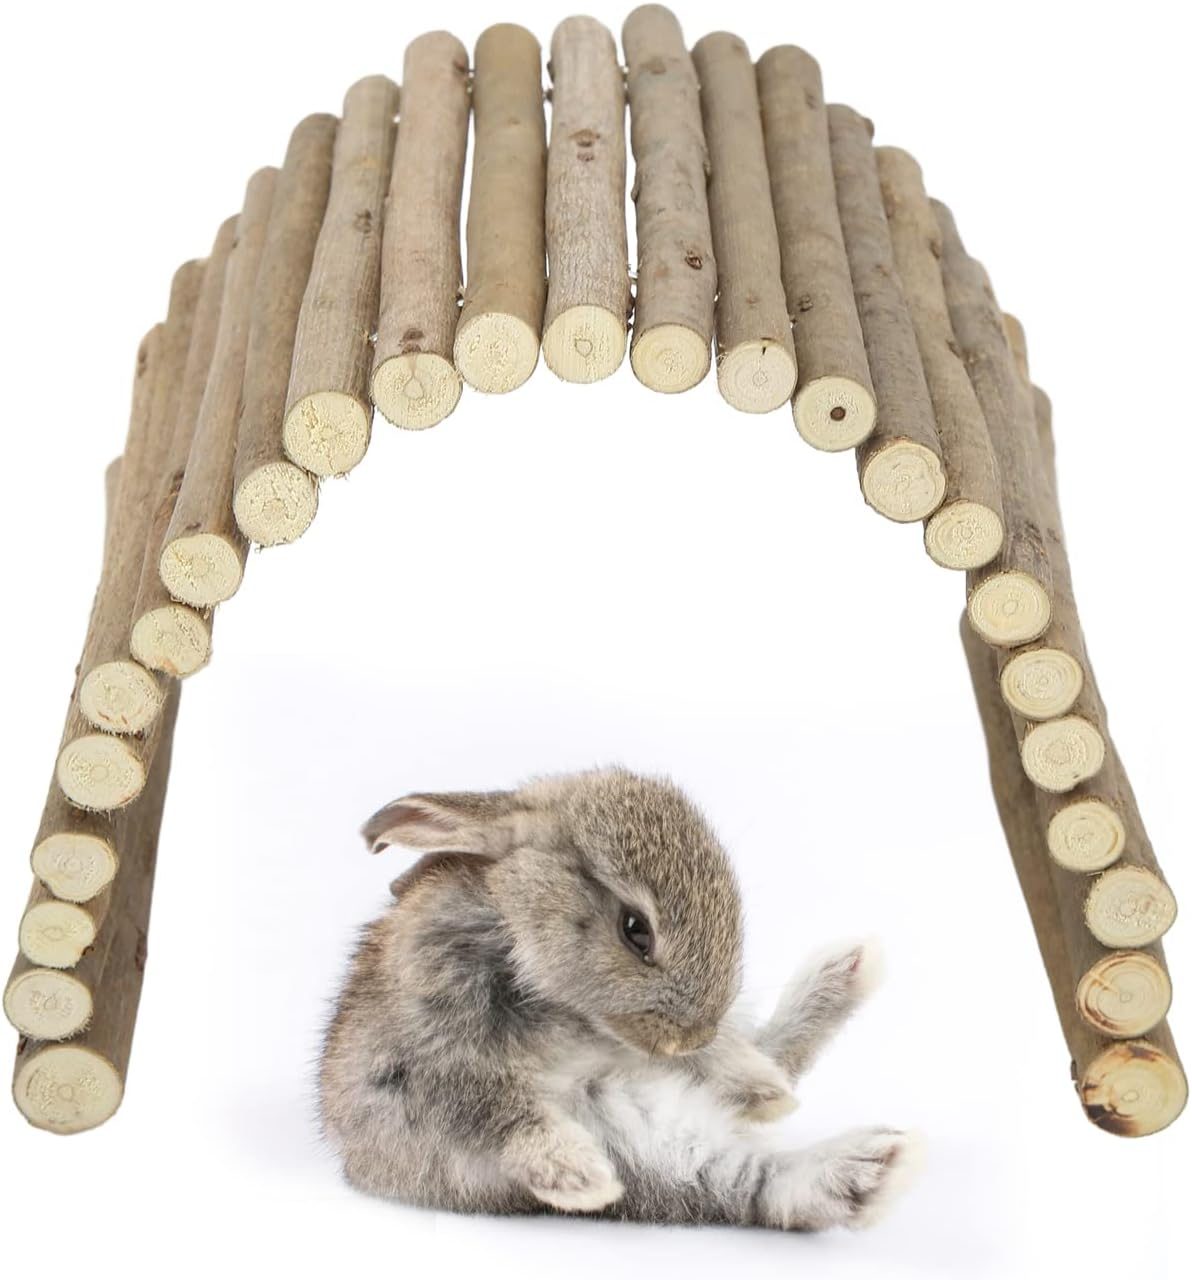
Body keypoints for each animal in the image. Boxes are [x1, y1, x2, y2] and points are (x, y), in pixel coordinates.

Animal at [319, 767, 919, 1230]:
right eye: (636, 931)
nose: (692, 1036)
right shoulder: (432, 1054)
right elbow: (493, 1109)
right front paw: (579, 1176)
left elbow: (728, 1058)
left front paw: (760, 1088)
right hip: (638, 1135)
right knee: (754, 1188)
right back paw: (874, 1166)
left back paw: (839, 985)